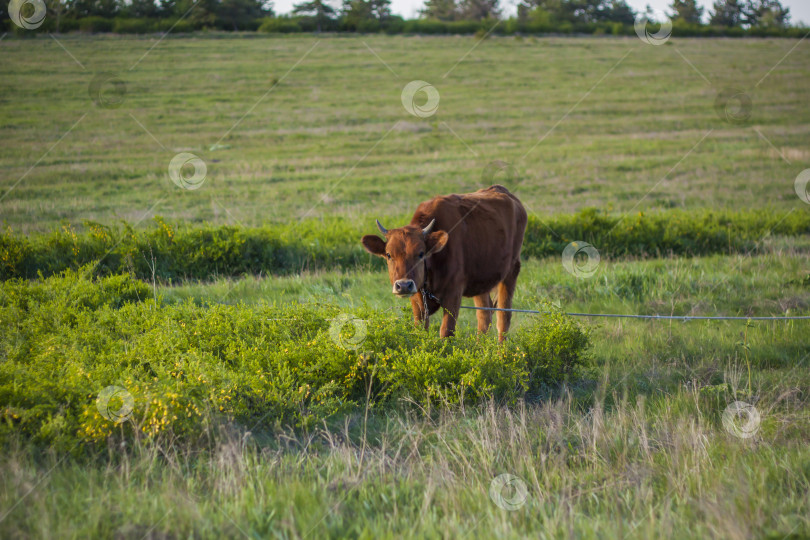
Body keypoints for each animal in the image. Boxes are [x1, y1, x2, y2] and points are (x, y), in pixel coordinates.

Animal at [358, 184, 524, 340]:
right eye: (388, 255)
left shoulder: (453, 294)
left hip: (511, 271)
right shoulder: (417, 301)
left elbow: (446, 332)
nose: (404, 285)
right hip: (481, 282)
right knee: (484, 317)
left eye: (421, 254)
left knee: (503, 318)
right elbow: (420, 330)